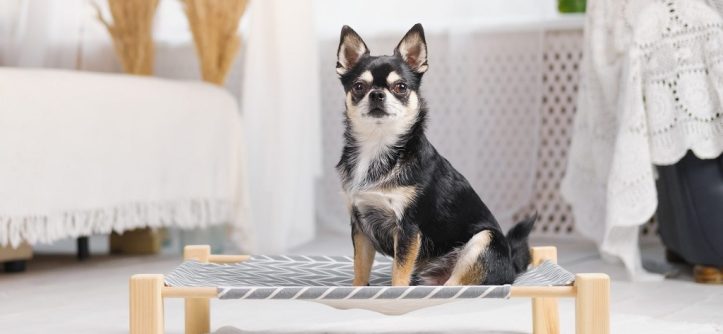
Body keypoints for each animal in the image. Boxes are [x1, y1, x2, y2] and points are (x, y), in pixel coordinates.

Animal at [336, 22, 536, 288]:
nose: (377, 94)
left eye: (400, 87)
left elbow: (398, 274)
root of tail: (513, 267)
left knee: (456, 285)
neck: (377, 148)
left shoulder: (408, 229)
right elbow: (360, 269)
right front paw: (358, 289)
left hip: (483, 240)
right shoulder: (360, 227)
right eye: (359, 87)